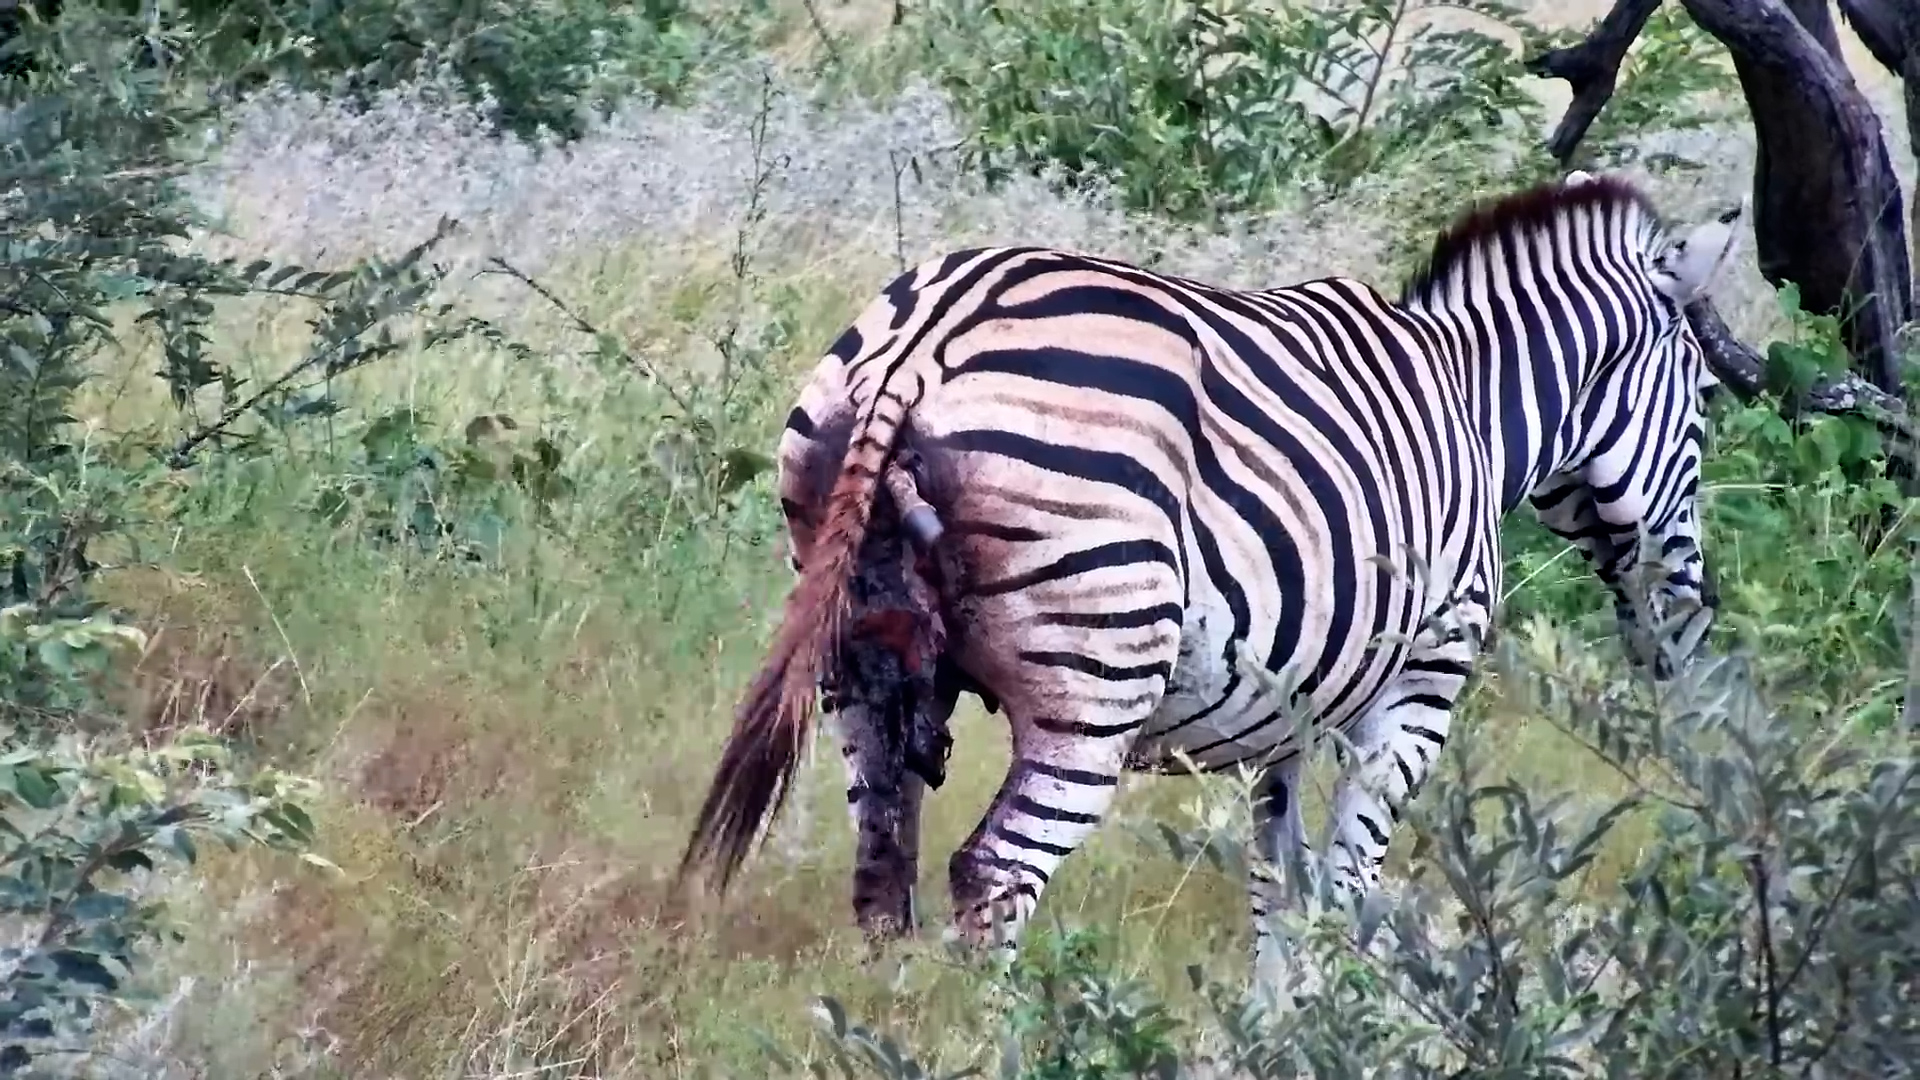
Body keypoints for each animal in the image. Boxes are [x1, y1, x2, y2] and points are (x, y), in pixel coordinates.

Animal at [674, 170, 1745, 990]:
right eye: (1701, 405)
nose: (1692, 626)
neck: (1472, 404)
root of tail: (923, 342)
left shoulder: (1296, 706)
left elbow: (1281, 882)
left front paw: (1276, 1017)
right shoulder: (1420, 684)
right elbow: (1345, 879)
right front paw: (1328, 1015)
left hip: (862, 663)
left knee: (882, 873)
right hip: (1097, 678)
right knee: (993, 876)